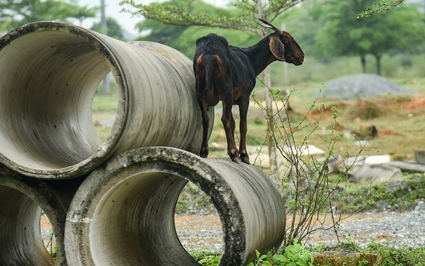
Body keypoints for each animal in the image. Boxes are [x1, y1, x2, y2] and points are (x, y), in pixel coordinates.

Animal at [194, 18, 304, 163]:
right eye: (287, 39)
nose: (301, 56)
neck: (250, 59)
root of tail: (208, 54)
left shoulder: (231, 99)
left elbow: (233, 123)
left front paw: (233, 151)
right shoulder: (244, 96)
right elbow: (243, 124)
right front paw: (243, 154)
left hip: (200, 89)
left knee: (206, 118)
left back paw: (204, 151)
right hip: (226, 89)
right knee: (224, 119)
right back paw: (234, 154)